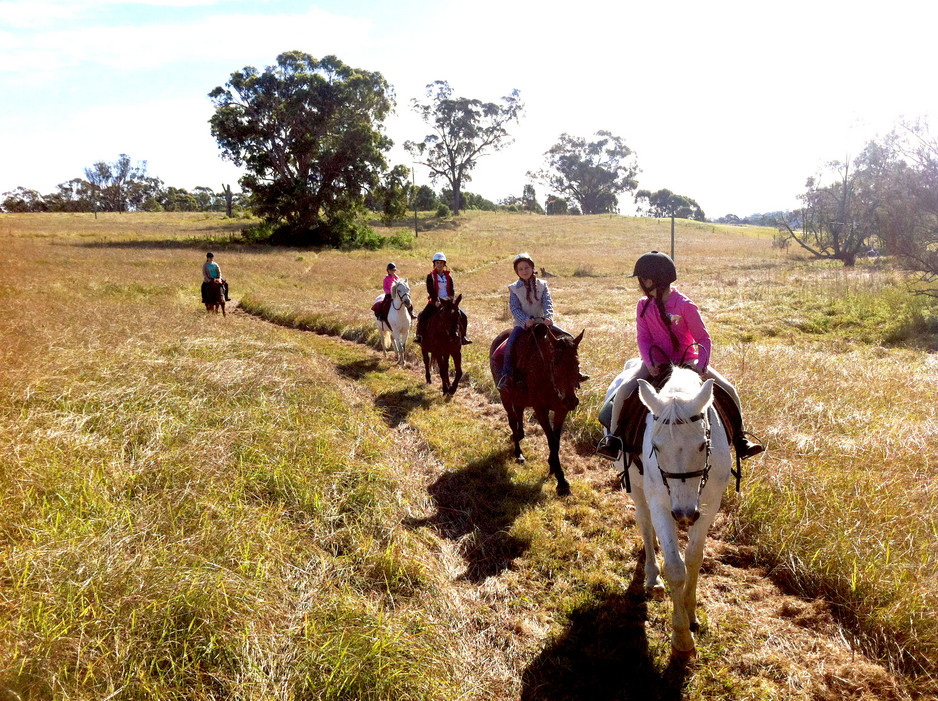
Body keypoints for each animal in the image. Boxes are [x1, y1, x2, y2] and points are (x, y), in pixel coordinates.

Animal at [490, 324, 584, 494]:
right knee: (512, 420)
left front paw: (553, 465)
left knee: (519, 412)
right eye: (555, 363)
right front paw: (561, 481)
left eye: (576, 362)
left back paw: (519, 435)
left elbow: (556, 440)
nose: (571, 401)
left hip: (519, 398)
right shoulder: (540, 410)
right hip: (505, 397)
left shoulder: (561, 409)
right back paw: (518, 452)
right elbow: (552, 441)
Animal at [616, 366, 736, 656]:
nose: (683, 514)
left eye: (703, 445)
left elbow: (693, 558)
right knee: (645, 524)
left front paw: (691, 615)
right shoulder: (661, 503)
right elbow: (674, 568)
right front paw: (681, 636)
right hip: (638, 490)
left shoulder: (709, 504)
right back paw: (652, 577)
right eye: (656, 447)